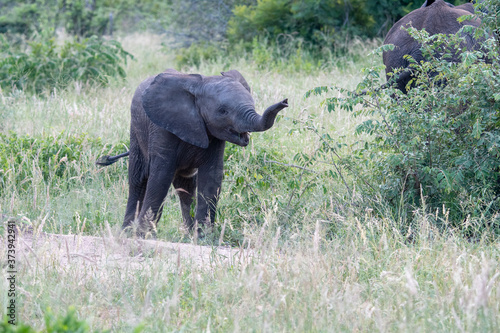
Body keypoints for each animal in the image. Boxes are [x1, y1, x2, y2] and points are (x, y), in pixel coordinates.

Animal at [96, 68, 290, 237]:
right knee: (138, 180)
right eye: (223, 111)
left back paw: (188, 233)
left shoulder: (215, 137)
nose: (285, 102)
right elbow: (160, 176)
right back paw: (126, 233)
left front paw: (203, 236)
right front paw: (144, 235)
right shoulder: (162, 128)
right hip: (136, 131)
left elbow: (211, 177)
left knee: (186, 187)